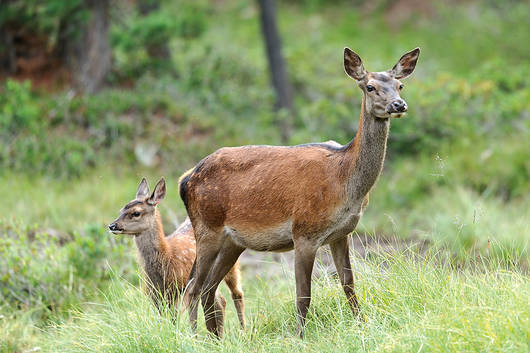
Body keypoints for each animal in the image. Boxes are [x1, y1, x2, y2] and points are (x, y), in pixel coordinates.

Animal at [108, 177, 248, 332]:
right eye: (121, 210)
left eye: (136, 213)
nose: (112, 226)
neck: (167, 258)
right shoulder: (156, 294)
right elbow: (166, 319)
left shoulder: (181, 289)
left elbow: (176, 317)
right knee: (220, 300)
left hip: (232, 265)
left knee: (236, 294)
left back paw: (243, 331)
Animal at [179, 46, 418, 336]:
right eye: (370, 87)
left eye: (400, 85)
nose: (399, 105)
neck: (344, 182)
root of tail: (186, 180)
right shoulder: (304, 231)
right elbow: (303, 294)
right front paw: (299, 336)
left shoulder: (342, 233)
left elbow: (349, 284)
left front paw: (363, 326)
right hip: (206, 228)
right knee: (193, 288)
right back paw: (194, 337)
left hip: (232, 241)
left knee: (208, 289)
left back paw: (216, 339)